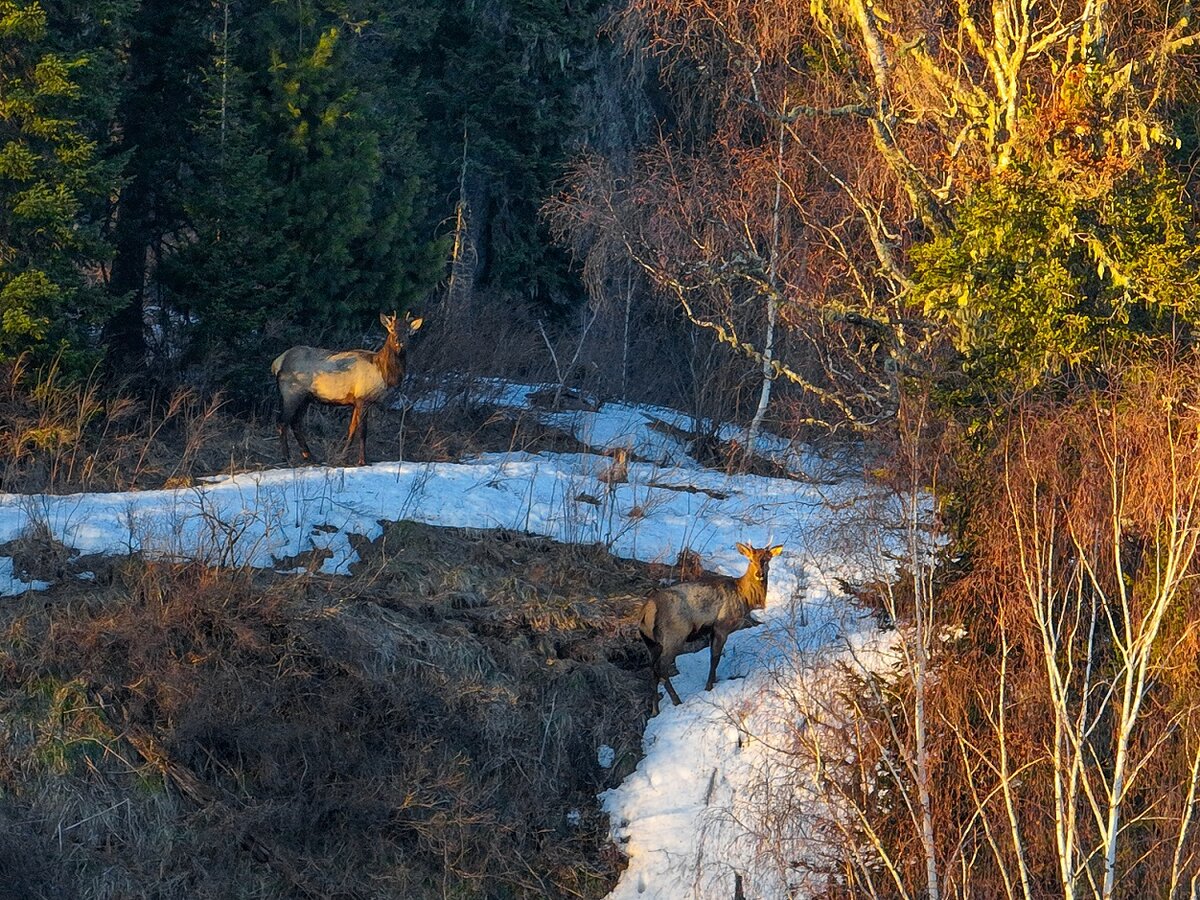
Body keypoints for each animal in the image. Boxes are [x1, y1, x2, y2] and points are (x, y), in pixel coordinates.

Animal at [271, 314, 422, 468]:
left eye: (408, 331)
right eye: (391, 329)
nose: (399, 341)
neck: (384, 373)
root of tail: (277, 363)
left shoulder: (356, 401)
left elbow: (352, 429)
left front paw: (343, 457)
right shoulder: (363, 398)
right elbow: (362, 431)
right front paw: (362, 461)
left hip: (306, 397)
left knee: (296, 423)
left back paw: (310, 457)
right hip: (291, 393)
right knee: (282, 422)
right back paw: (288, 459)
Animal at [638, 547, 787, 715]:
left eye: (767, 559)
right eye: (750, 559)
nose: (759, 573)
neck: (745, 598)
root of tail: (647, 611)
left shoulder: (712, 630)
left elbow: (714, 656)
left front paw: (714, 681)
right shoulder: (722, 625)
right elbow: (715, 658)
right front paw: (709, 686)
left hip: (652, 643)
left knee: (652, 670)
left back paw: (655, 710)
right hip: (674, 635)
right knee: (661, 667)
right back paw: (677, 701)